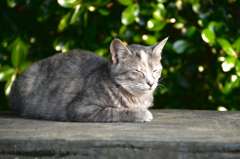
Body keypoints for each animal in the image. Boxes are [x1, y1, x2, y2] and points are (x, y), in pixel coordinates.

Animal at [8, 38, 167, 122]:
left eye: (155, 70)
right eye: (138, 71)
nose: (151, 83)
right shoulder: (80, 108)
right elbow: (114, 111)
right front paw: (140, 113)